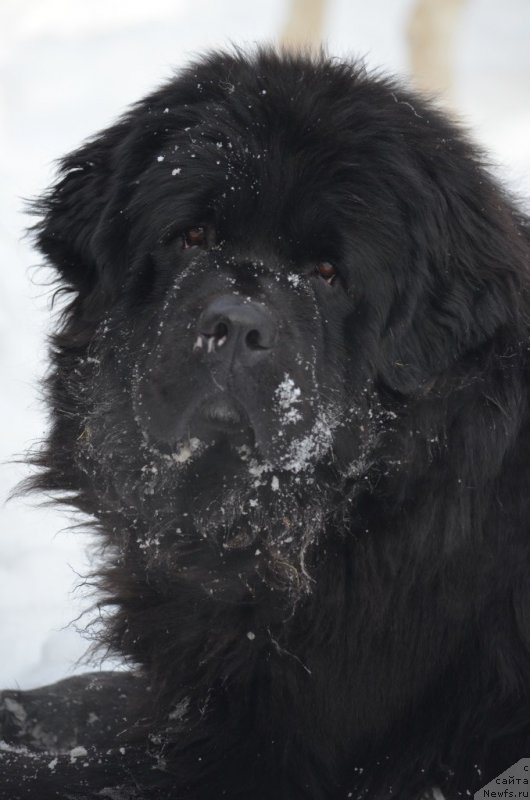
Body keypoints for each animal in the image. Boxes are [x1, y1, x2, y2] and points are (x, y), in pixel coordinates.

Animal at [3, 48, 528, 800]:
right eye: (192, 236)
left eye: (330, 272)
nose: (236, 325)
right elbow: (97, 693)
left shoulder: (259, 756)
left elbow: (65, 769)